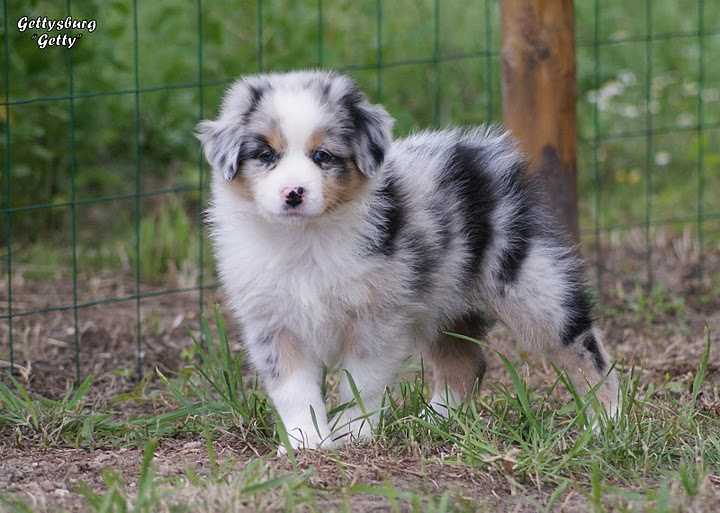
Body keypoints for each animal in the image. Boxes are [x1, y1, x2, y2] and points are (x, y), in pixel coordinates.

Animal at [197, 70, 619, 451]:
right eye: (266, 155)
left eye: (323, 156)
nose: (294, 193)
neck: (305, 240)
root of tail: (481, 155)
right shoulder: (272, 324)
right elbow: (294, 389)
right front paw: (306, 442)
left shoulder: (376, 319)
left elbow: (360, 381)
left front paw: (353, 434)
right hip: (443, 305)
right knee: (466, 363)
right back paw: (433, 421)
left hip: (530, 284)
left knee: (586, 348)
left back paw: (607, 423)